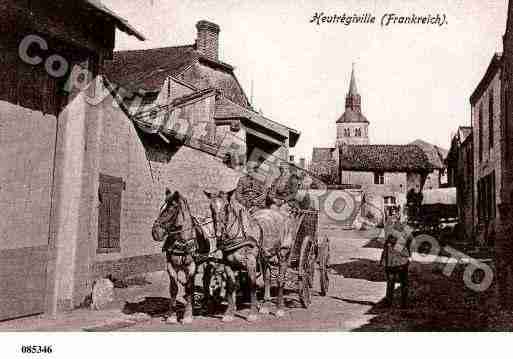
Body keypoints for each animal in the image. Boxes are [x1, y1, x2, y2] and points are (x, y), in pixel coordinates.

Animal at [152, 191, 216, 326]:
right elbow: (174, 289)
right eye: (161, 208)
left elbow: (189, 288)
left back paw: (206, 304)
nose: (155, 232)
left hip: (208, 262)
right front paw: (171, 316)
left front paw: (187, 316)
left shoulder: (190, 267)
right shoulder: (171, 266)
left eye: (170, 209)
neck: (182, 240)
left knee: (205, 281)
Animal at [201, 190, 294, 322]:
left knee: (280, 279)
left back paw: (280, 309)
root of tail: (281, 214)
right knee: (267, 278)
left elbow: (252, 284)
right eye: (211, 206)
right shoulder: (228, 263)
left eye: (226, 206)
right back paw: (265, 306)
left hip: (283, 253)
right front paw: (229, 313)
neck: (240, 234)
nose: (218, 232)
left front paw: (252, 313)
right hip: (264, 256)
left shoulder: (250, 262)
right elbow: (231, 285)